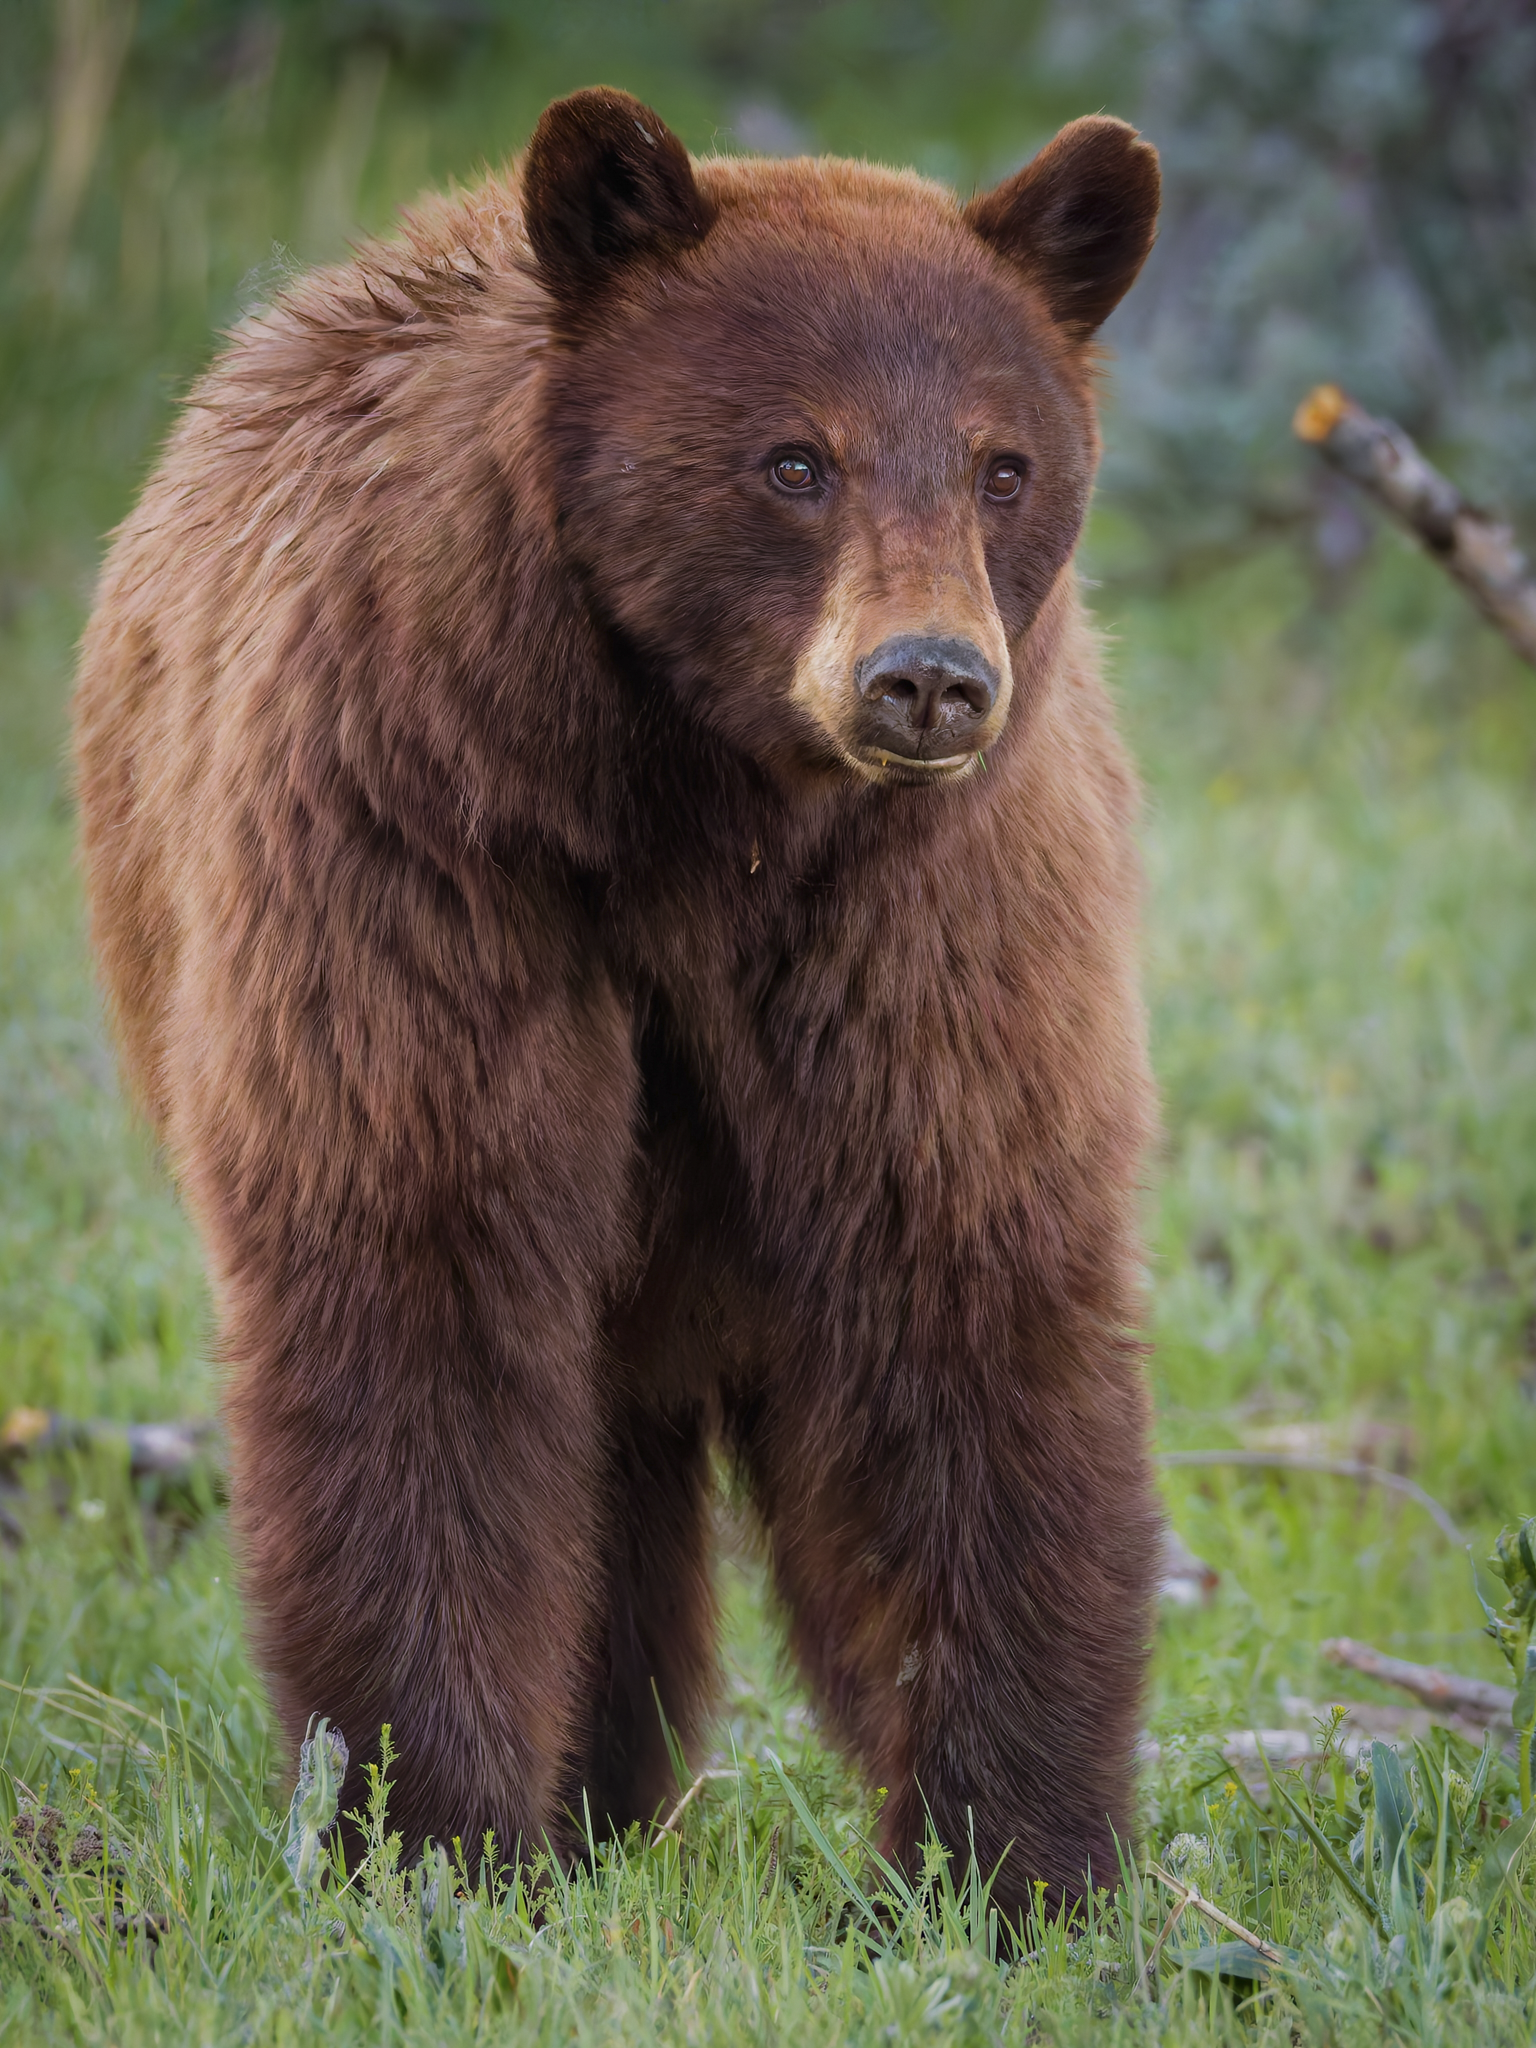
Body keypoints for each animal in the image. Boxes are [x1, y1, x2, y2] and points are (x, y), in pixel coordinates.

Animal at [73, 87, 1161, 1911]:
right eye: (793, 459)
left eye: (1005, 464)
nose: (927, 678)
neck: (700, 804)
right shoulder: (420, 837)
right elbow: (421, 1276)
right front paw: (433, 1833)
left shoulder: (923, 909)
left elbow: (960, 1281)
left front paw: (1008, 1854)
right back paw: (580, 1806)